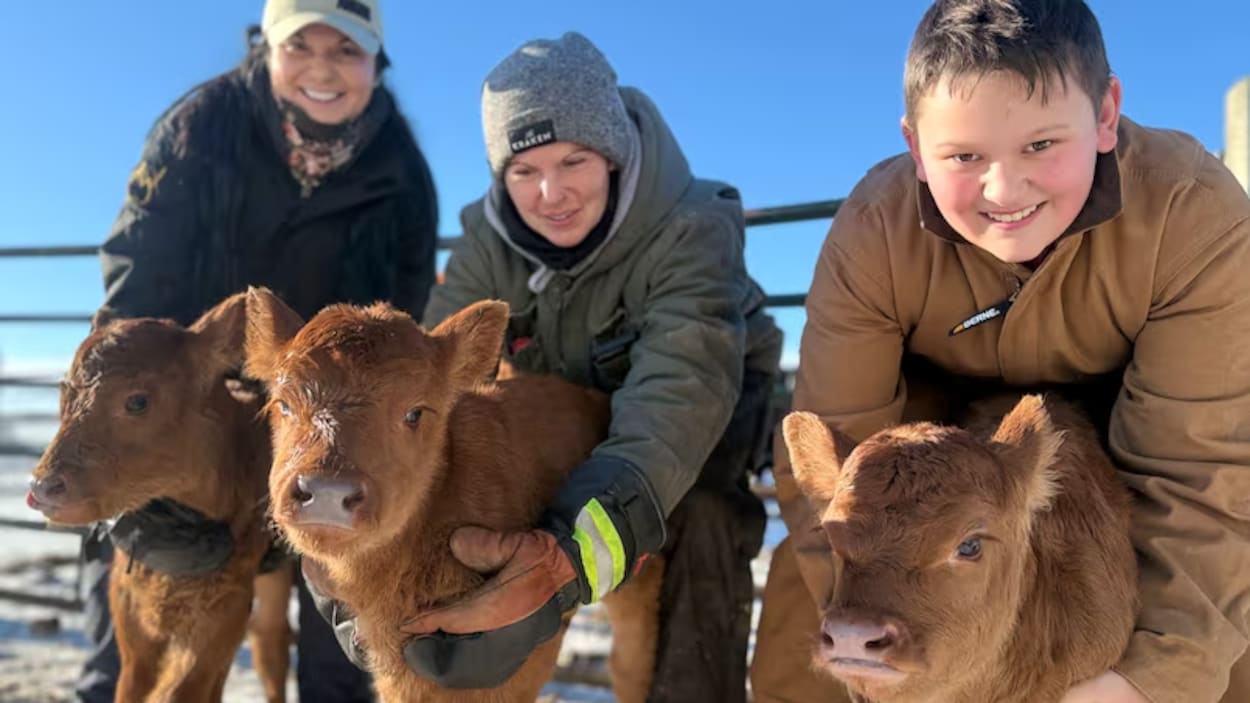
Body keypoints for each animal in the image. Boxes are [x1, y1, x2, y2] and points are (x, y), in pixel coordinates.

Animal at [26, 293, 291, 703]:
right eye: (63, 391)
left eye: (137, 402)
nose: (43, 487)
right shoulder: (129, 598)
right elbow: (133, 686)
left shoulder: (227, 602)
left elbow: (182, 689)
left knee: (271, 643)